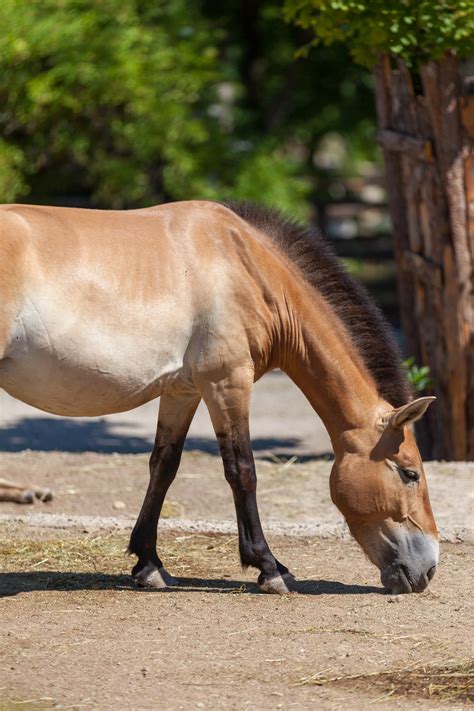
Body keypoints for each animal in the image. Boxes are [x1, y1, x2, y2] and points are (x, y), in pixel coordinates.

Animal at [0, 200, 438, 596]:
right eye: (409, 473)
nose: (430, 569)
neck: (245, 265)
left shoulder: (183, 391)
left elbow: (164, 466)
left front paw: (149, 564)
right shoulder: (227, 384)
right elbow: (242, 471)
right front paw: (270, 568)